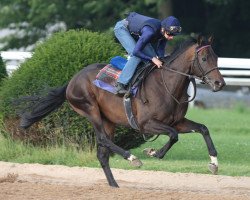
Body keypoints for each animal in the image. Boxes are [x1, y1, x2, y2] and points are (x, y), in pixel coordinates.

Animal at [19, 35, 226, 187]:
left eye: (217, 57)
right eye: (204, 58)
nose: (219, 83)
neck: (166, 85)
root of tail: (71, 80)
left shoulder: (177, 121)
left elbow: (203, 129)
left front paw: (214, 164)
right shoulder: (146, 124)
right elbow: (173, 135)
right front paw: (153, 152)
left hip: (108, 120)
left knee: (102, 154)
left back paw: (114, 185)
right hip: (90, 109)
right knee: (103, 139)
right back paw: (132, 158)